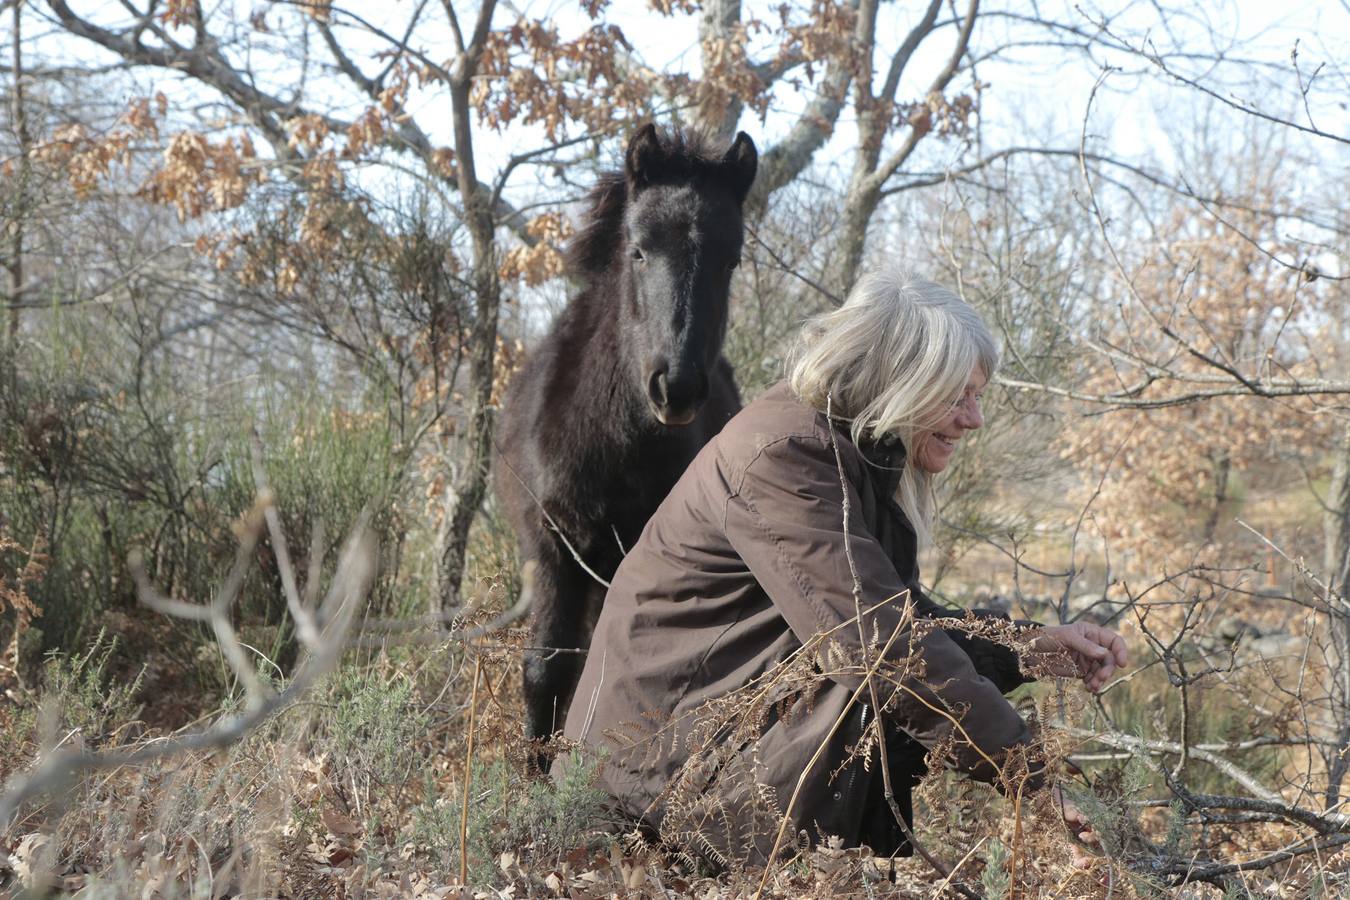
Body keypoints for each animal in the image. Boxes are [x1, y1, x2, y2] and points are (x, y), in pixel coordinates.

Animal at [494, 124, 758, 757]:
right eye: (638, 249)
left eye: (731, 259)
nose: (677, 387)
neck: (614, 447)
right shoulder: (553, 547)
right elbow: (546, 669)